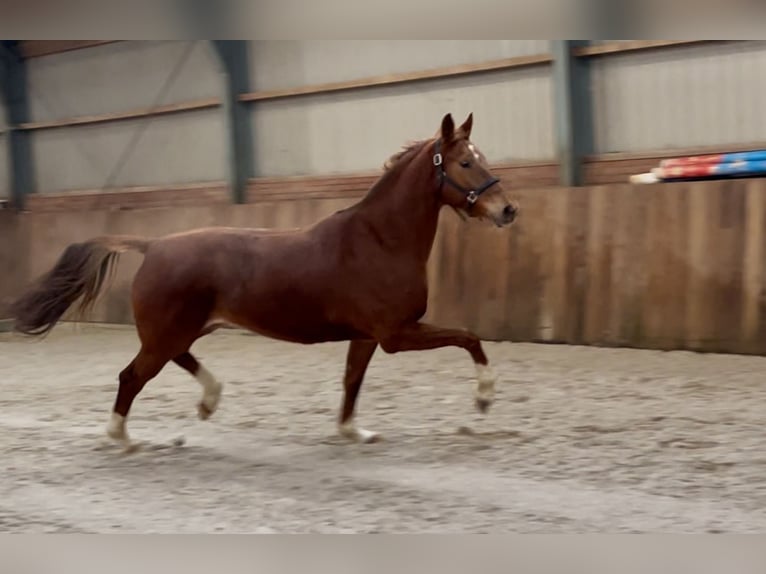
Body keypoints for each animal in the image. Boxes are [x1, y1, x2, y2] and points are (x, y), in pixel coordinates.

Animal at [9, 113, 520, 454]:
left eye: (480, 158)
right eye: (464, 163)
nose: (508, 210)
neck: (379, 240)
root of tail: (153, 245)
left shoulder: (367, 336)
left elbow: (352, 381)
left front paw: (353, 432)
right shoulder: (396, 334)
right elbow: (470, 338)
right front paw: (484, 399)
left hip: (181, 329)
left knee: (173, 359)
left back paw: (208, 403)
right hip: (167, 331)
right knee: (132, 376)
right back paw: (122, 437)